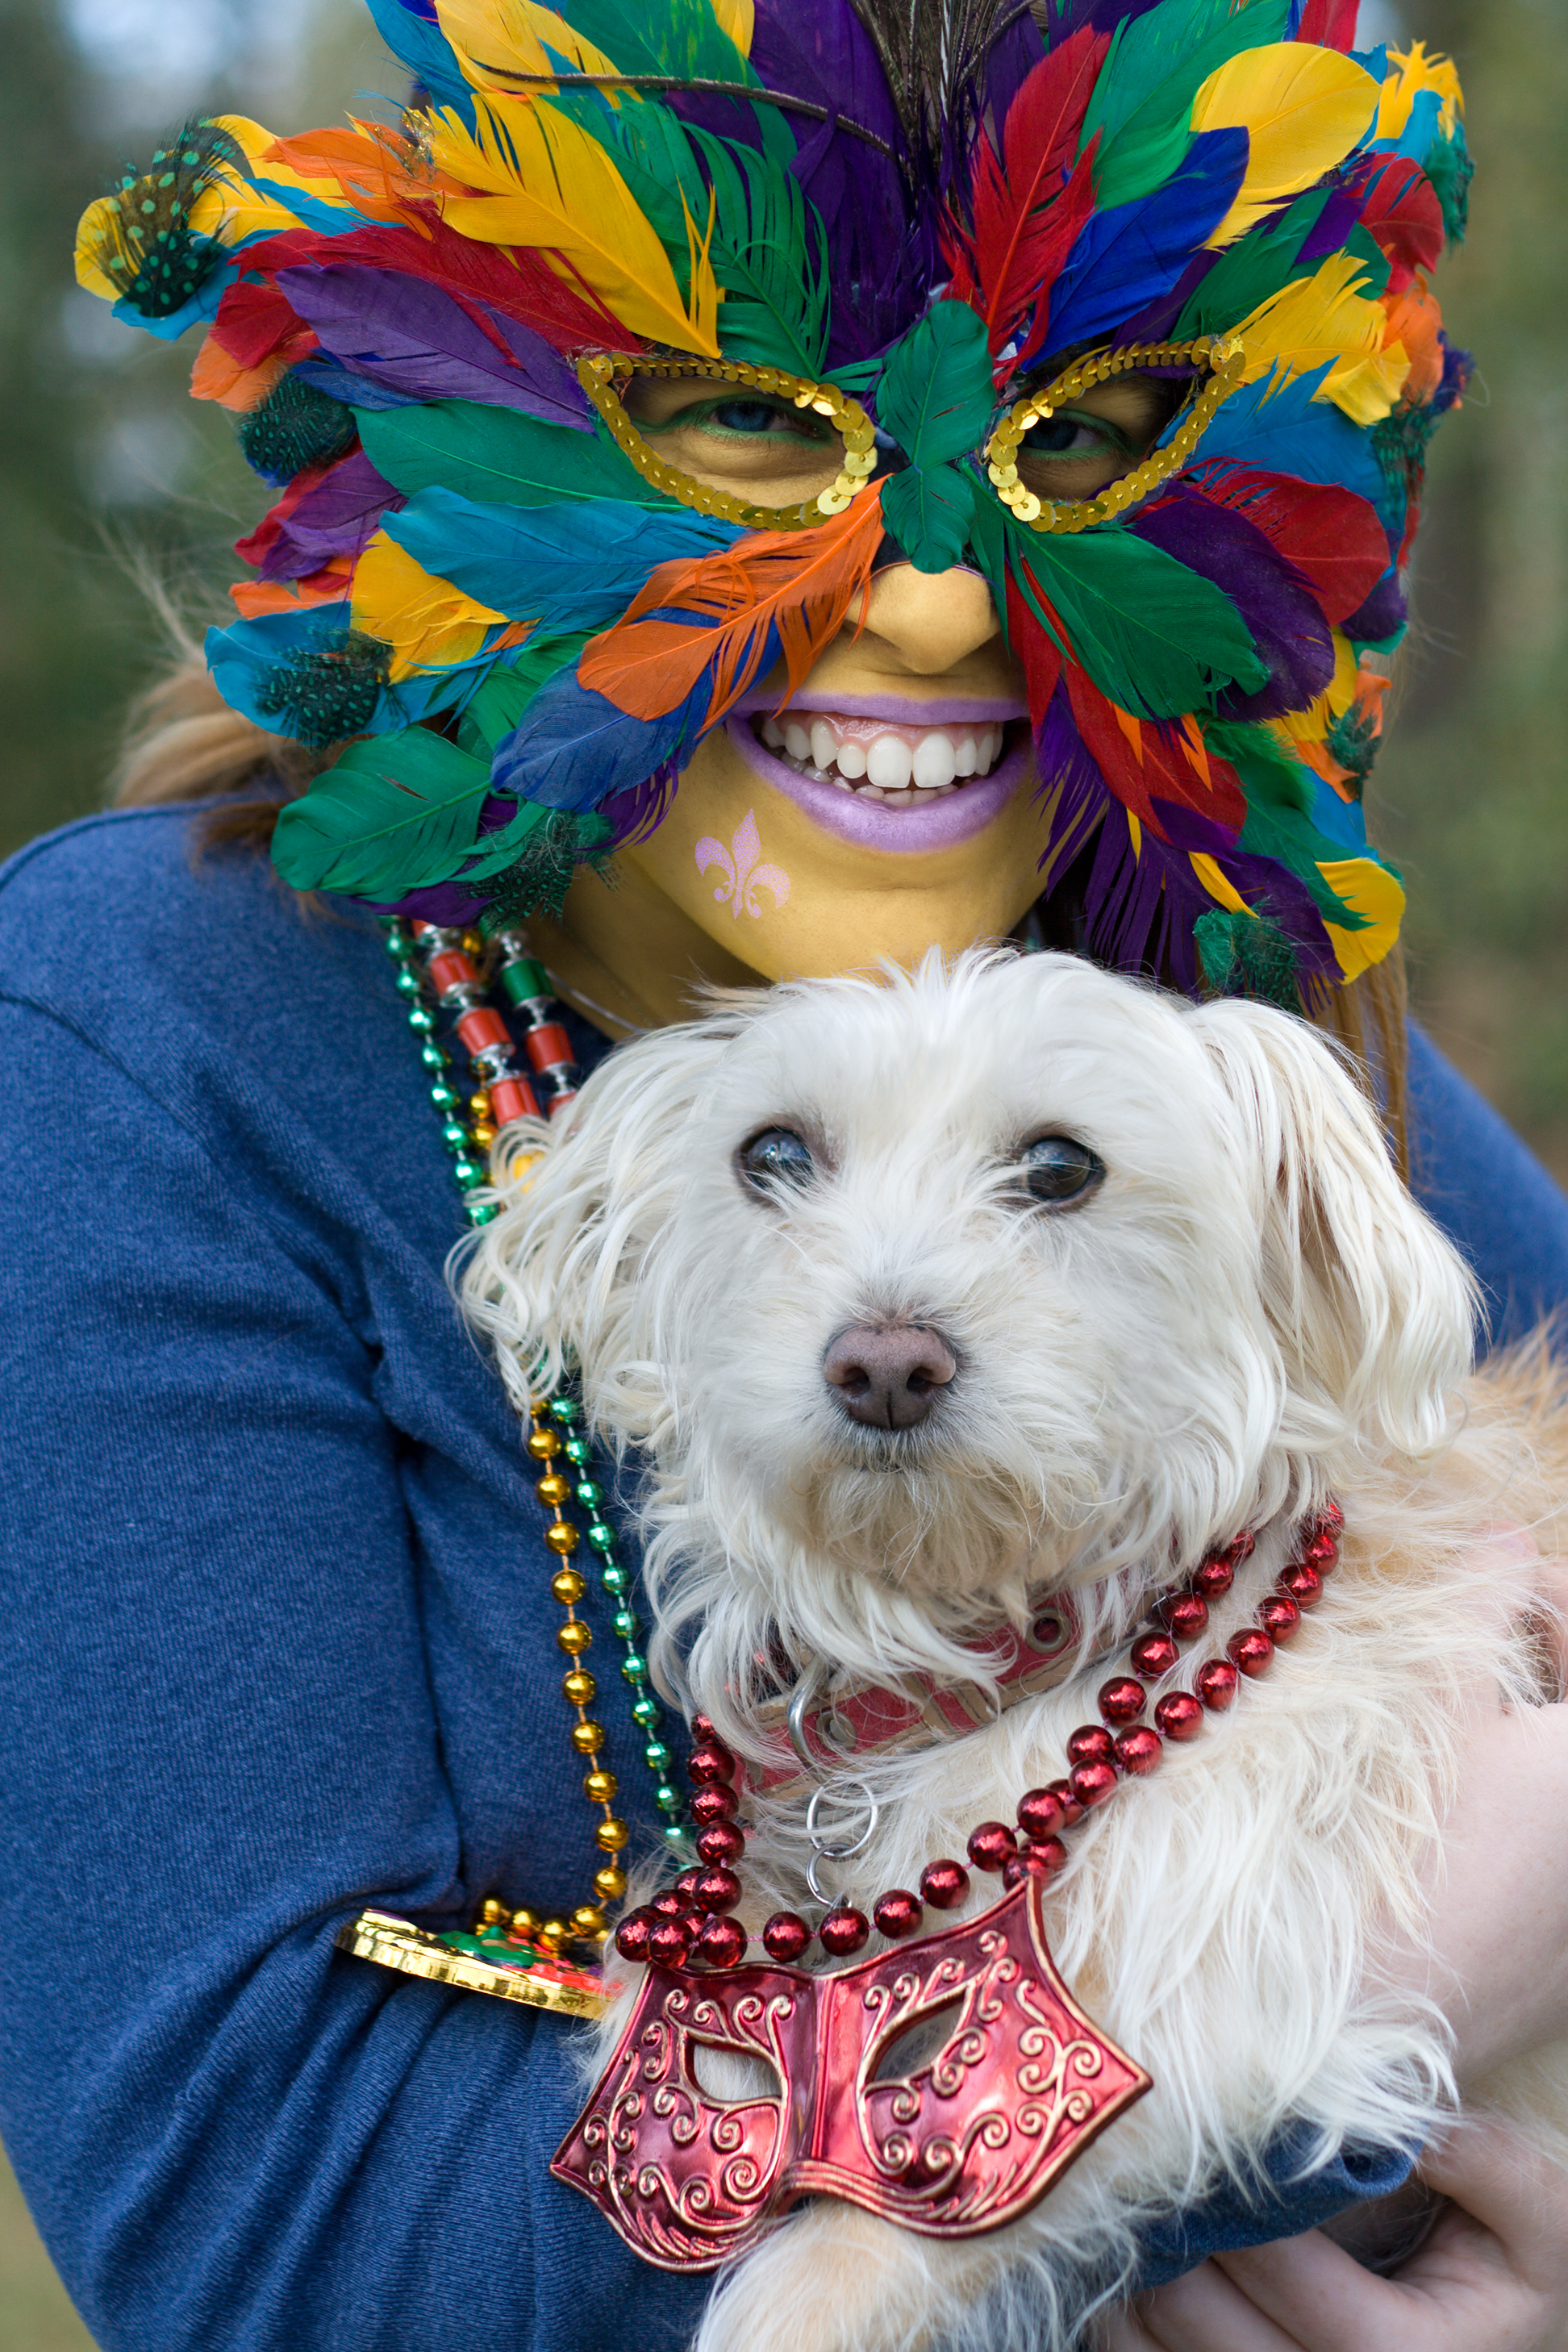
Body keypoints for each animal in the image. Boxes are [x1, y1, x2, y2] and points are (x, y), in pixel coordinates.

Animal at [461, 945, 1561, 2352]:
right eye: (773, 1154)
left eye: (1059, 1166)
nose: (884, 1364)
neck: (978, 1650)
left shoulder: (1212, 2000)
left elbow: (846, 2259)